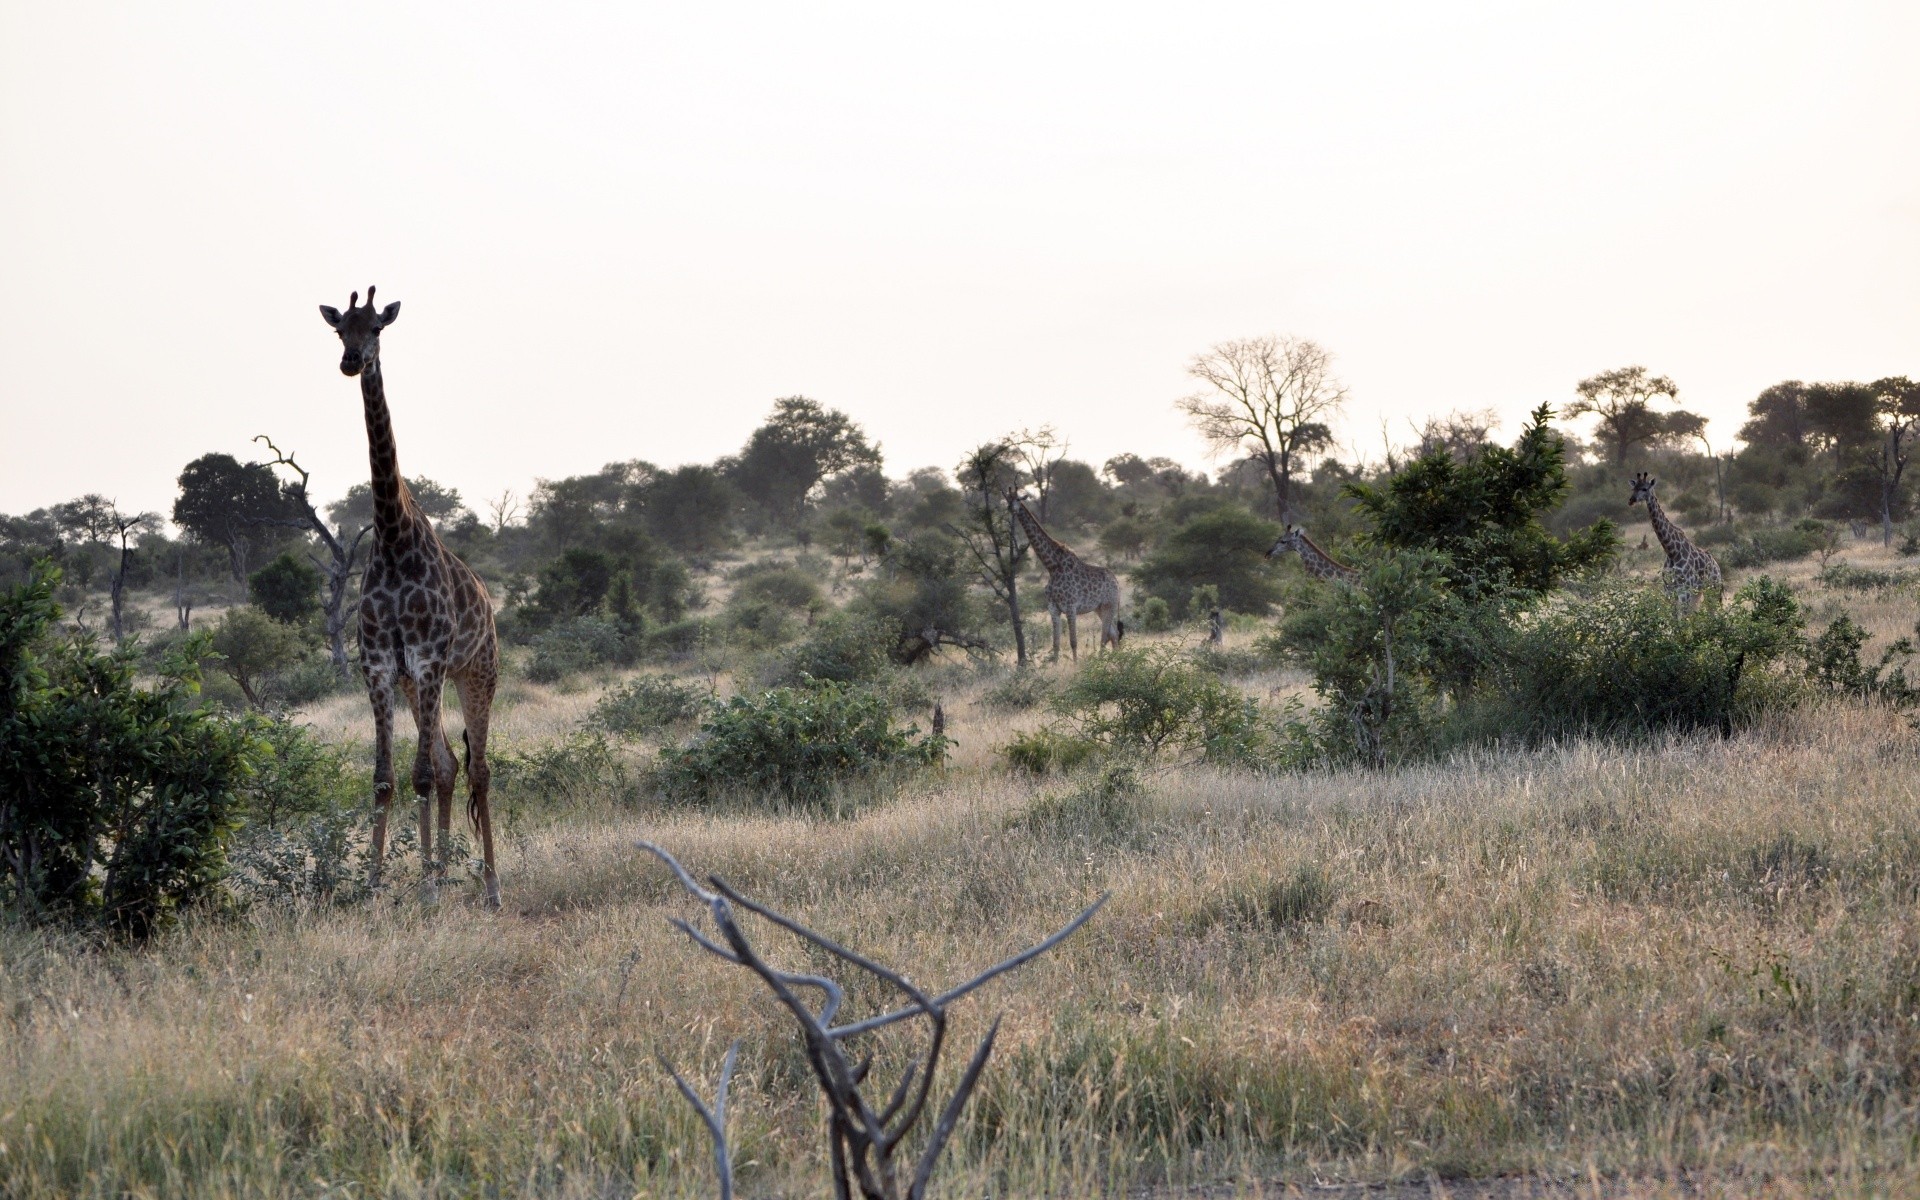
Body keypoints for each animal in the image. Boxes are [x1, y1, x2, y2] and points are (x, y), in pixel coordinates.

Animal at [320, 288, 503, 906]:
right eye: (340, 330)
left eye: (377, 326)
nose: (352, 361)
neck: (394, 538)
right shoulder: (380, 665)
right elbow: (387, 777)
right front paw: (375, 885)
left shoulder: (426, 660)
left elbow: (420, 775)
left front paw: (424, 890)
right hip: (422, 681)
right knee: (448, 765)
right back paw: (440, 872)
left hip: (475, 672)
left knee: (478, 770)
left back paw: (489, 886)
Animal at [1006, 491, 1121, 660]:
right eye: (1008, 499)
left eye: (1019, 499)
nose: (1011, 508)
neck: (1052, 567)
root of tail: (1116, 582)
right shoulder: (1053, 608)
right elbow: (1056, 644)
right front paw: (1054, 664)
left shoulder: (1071, 607)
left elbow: (1073, 642)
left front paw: (1075, 664)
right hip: (1099, 608)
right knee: (1113, 634)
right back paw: (1115, 660)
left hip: (1110, 604)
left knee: (1105, 635)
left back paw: (1103, 661)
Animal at [1628, 470, 1720, 614]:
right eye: (1634, 488)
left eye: (1644, 488)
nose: (1631, 500)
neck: (1671, 551)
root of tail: (1717, 566)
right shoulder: (1669, 590)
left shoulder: (1684, 590)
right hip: (1697, 593)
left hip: (1713, 589)